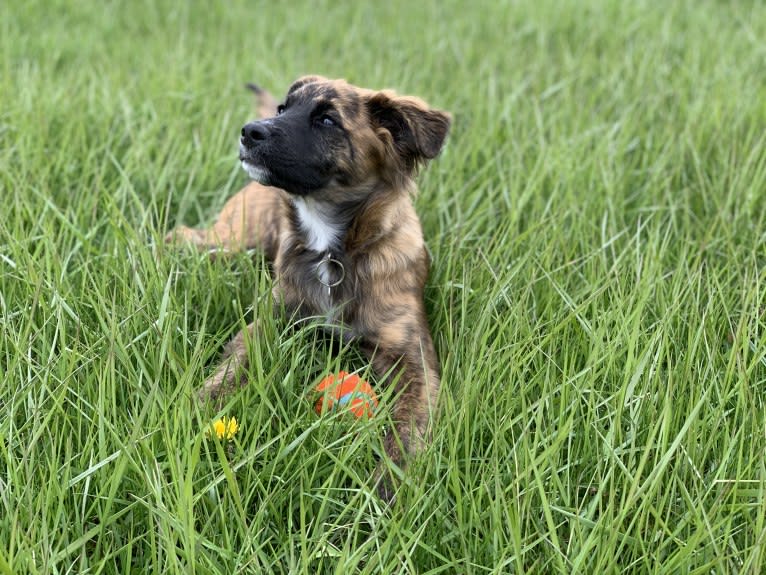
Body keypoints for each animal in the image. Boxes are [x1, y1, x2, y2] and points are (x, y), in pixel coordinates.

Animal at [168, 76, 452, 500]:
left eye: (327, 120)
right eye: (283, 109)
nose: (250, 132)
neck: (331, 251)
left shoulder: (413, 359)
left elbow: (410, 425)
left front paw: (388, 482)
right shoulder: (270, 322)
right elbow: (231, 369)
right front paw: (195, 409)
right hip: (234, 240)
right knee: (184, 235)